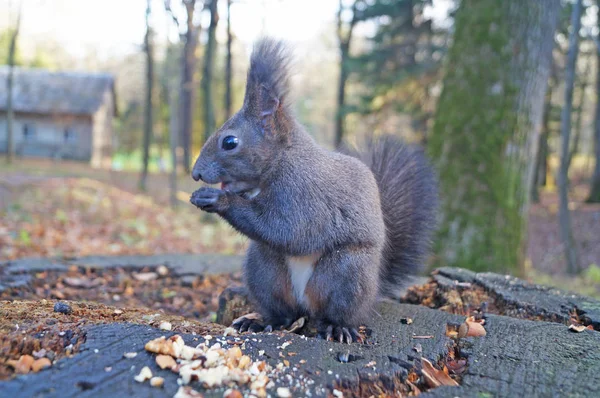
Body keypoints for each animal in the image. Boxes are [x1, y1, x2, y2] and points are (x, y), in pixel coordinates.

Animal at [190, 37, 438, 344]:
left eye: (229, 142)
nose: (196, 173)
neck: (282, 160)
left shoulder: (304, 194)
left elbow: (289, 231)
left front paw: (217, 199)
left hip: (345, 272)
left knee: (337, 311)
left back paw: (338, 327)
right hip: (263, 269)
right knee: (283, 313)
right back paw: (262, 321)